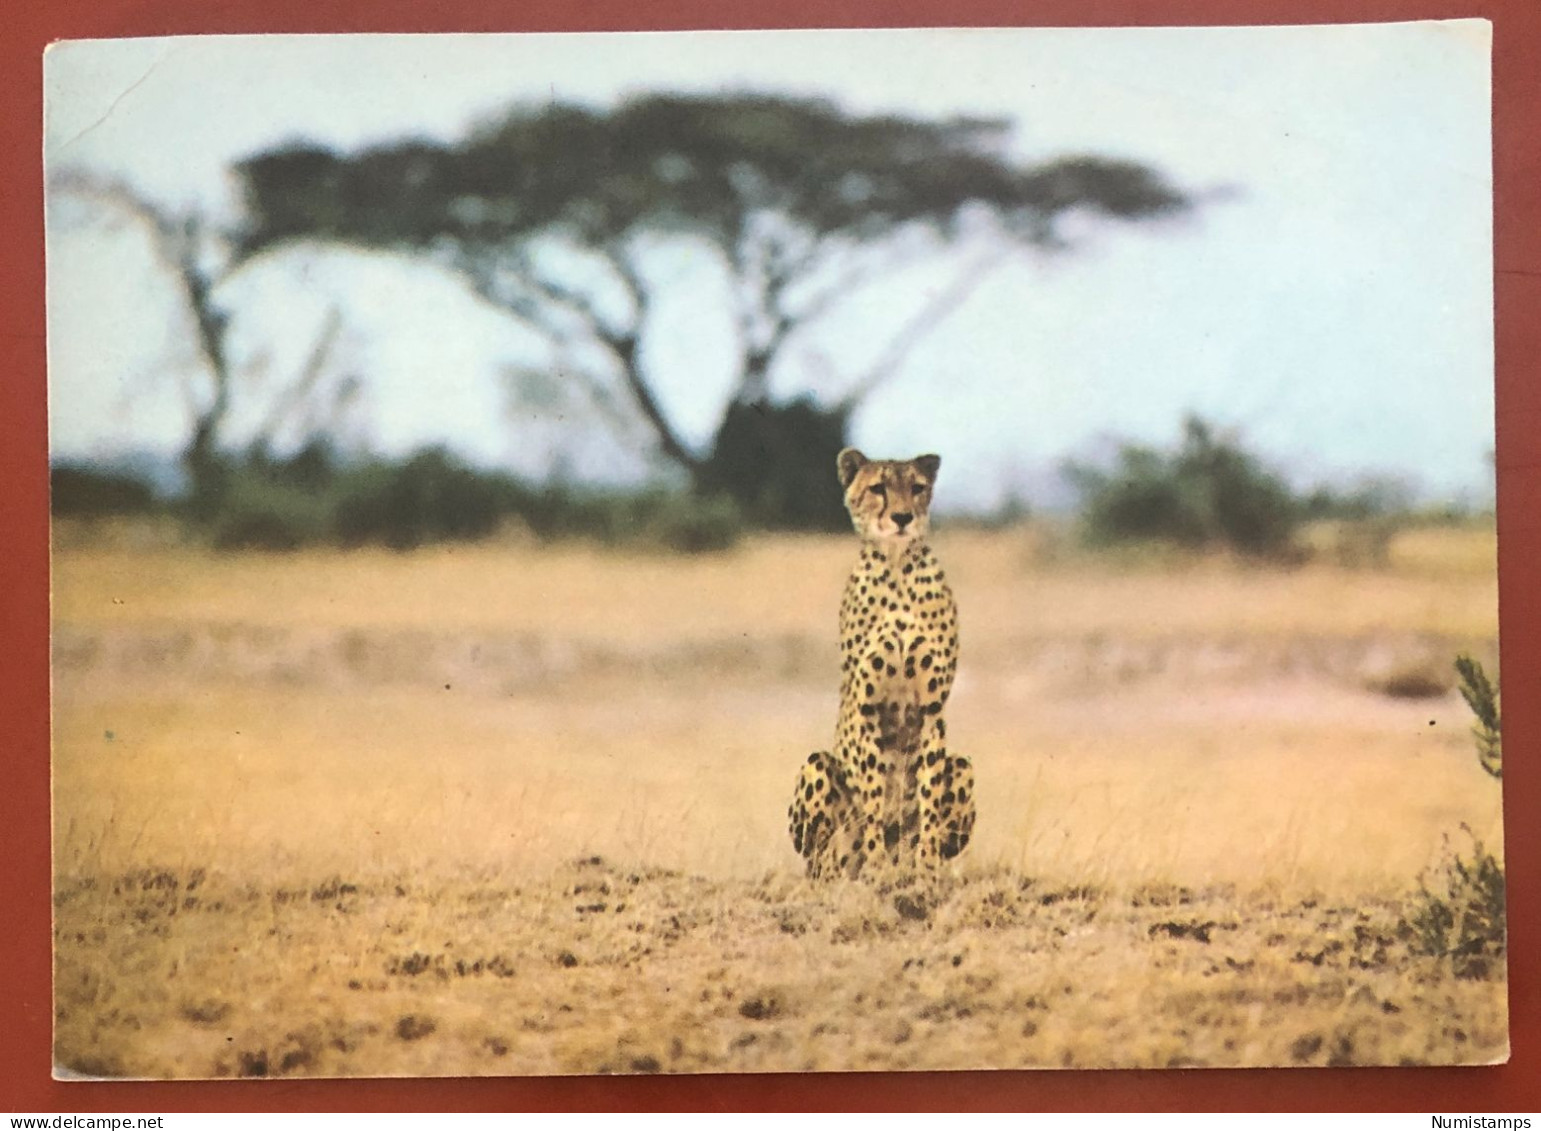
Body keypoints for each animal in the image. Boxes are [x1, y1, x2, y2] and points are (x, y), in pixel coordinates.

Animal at [795, 446, 973, 881]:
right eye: (878, 488)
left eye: (917, 488)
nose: (903, 517)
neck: (897, 569)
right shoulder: (868, 707)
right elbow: (874, 795)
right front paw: (877, 866)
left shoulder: (931, 710)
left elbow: (928, 796)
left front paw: (925, 867)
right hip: (816, 766)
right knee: (821, 857)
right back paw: (846, 869)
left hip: (963, 765)